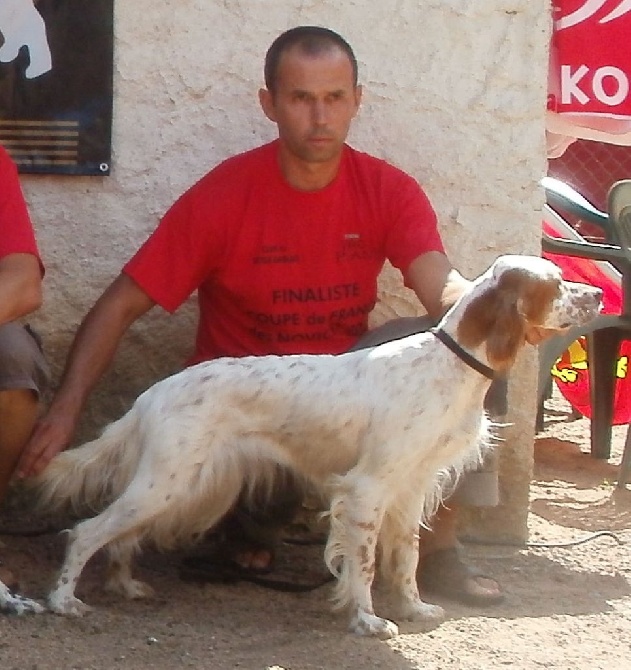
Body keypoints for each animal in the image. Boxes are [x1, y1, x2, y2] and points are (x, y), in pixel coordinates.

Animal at [33, 255, 604, 636]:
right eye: (556, 284)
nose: (598, 295)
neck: (448, 364)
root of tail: (153, 394)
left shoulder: (411, 489)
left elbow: (406, 557)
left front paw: (414, 609)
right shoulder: (367, 489)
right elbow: (365, 563)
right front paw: (368, 620)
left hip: (180, 486)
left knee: (120, 538)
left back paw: (126, 586)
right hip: (168, 483)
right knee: (86, 532)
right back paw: (64, 601)